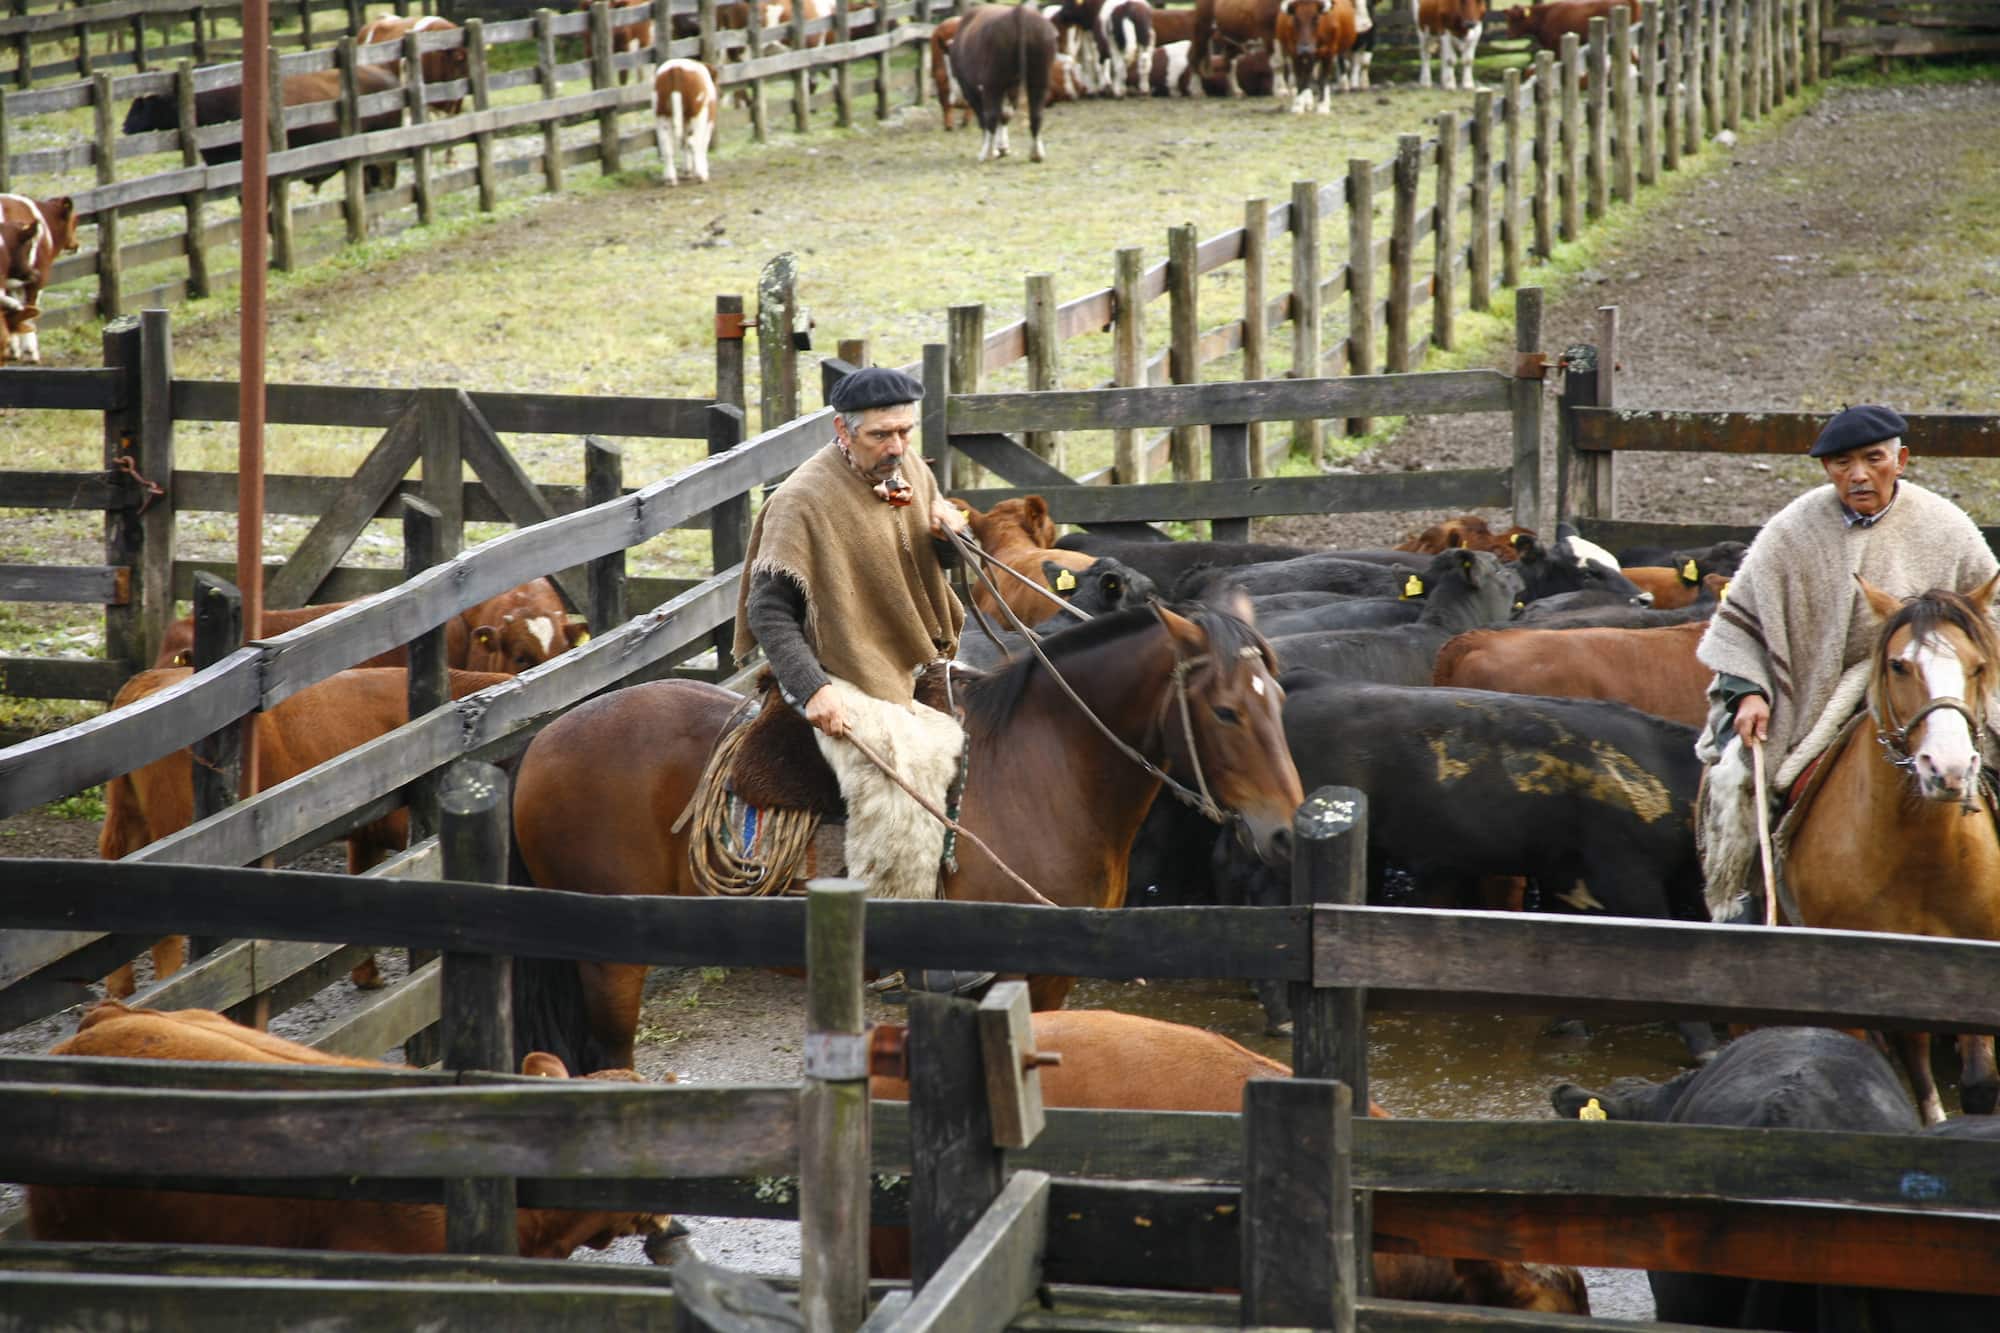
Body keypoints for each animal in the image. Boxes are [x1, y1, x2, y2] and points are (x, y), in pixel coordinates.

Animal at [0, 193, 79, 365]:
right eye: (75, 221)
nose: (76, 245)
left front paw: (13, 350)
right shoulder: (38, 278)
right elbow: (30, 309)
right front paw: (30, 352)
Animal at [951, 4, 1058, 163]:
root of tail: (1018, 12)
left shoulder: (970, 88)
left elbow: (986, 117)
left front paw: (998, 149)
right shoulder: (1012, 86)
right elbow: (1006, 114)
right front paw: (1003, 148)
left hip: (992, 83)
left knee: (990, 116)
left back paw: (987, 154)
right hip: (1039, 78)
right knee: (1036, 114)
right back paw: (1036, 154)